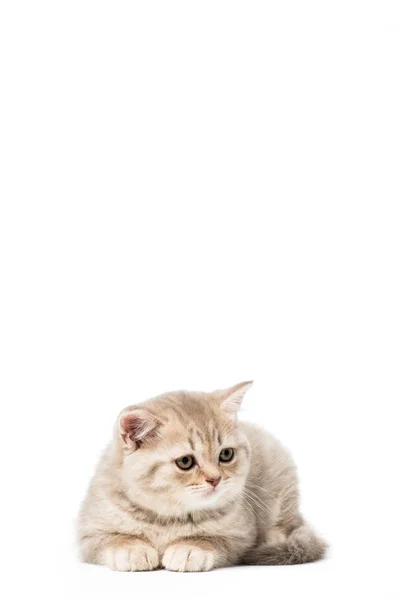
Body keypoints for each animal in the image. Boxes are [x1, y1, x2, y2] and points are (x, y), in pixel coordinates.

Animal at [77, 382, 324, 568]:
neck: (168, 518)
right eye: (185, 462)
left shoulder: (241, 535)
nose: (215, 479)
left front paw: (189, 548)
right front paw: (132, 550)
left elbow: (212, 539)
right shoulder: (88, 532)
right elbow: (113, 538)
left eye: (226, 454)